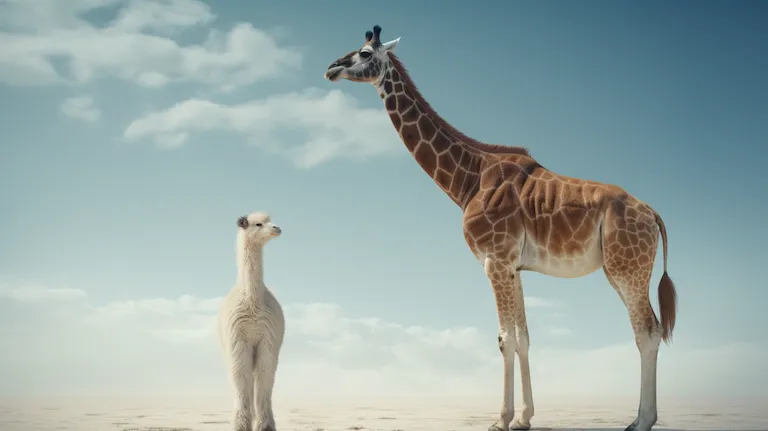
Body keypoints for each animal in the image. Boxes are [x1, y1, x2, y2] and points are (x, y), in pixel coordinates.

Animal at [324, 25, 678, 431]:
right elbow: (523, 337)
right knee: (650, 330)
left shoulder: (494, 260)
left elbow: (504, 339)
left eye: (365, 53)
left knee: (647, 332)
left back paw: (642, 421)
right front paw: (524, 418)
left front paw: (502, 419)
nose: (331, 68)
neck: (468, 180)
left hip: (626, 269)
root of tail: (653, 215)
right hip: (623, 269)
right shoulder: (513, 266)